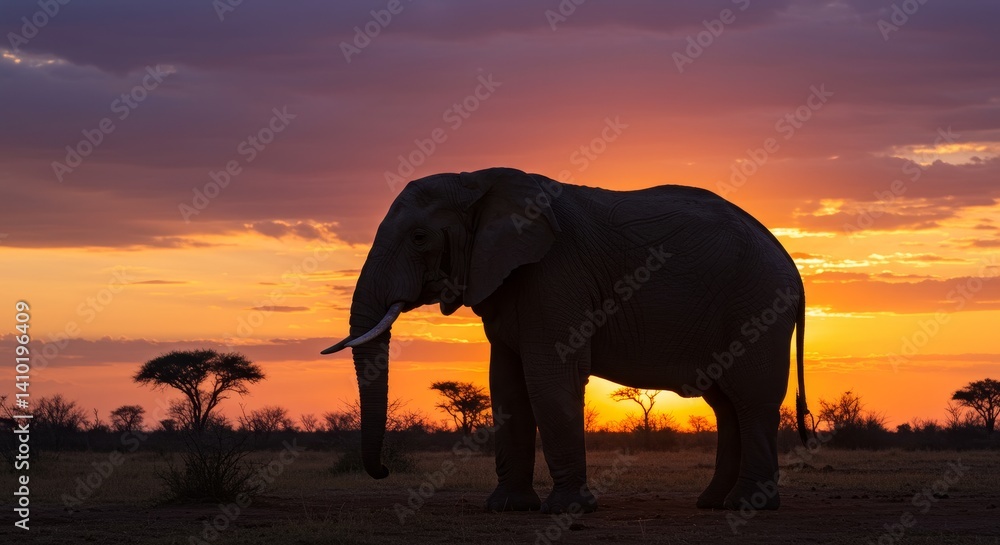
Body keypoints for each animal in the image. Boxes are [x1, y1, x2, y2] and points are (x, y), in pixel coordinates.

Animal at [322, 167, 809, 514]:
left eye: (420, 237)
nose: (384, 471)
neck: (476, 181)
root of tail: (789, 261)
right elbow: (507, 386)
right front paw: (507, 509)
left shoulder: (556, 274)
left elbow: (550, 377)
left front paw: (567, 510)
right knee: (726, 405)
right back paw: (711, 503)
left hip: (757, 305)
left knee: (751, 399)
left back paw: (748, 507)